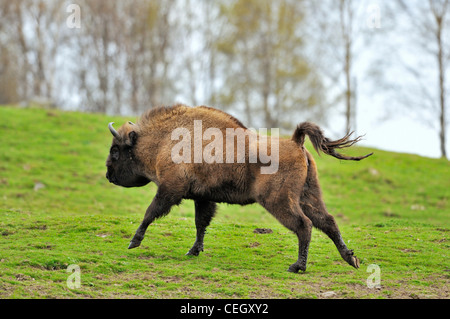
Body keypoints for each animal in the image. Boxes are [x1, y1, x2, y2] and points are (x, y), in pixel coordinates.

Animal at [106, 104, 372, 272]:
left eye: (116, 150)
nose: (108, 175)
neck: (163, 140)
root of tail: (296, 141)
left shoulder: (170, 190)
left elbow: (150, 212)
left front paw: (133, 242)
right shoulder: (202, 197)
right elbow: (200, 223)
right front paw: (193, 251)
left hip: (279, 201)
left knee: (304, 225)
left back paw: (297, 267)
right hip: (308, 196)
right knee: (327, 222)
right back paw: (351, 259)